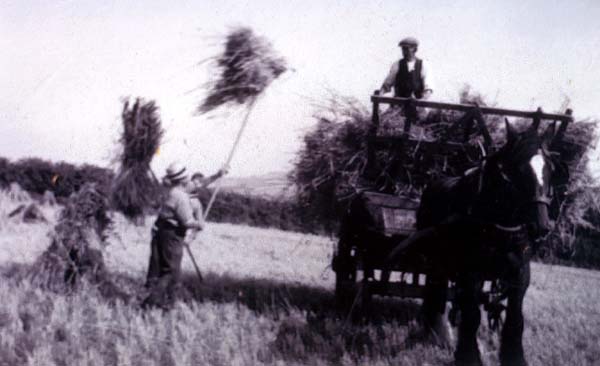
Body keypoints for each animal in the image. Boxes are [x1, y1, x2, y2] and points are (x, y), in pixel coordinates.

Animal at [386, 118, 560, 364]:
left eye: (551, 169)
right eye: (516, 168)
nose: (542, 226)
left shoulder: (520, 273)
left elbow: (515, 318)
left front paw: (514, 356)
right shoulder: (471, 272)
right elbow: (472, 316)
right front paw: (468, 355)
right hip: (437, 259)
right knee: (437, 291)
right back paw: (438, 331)